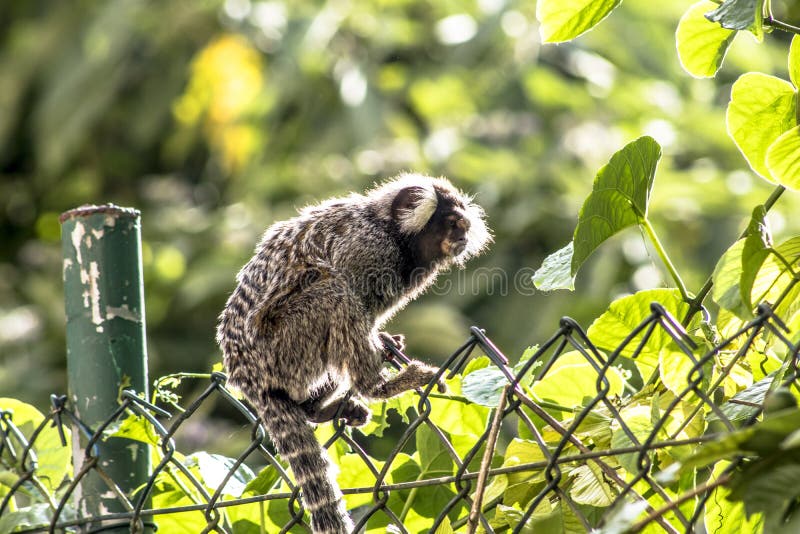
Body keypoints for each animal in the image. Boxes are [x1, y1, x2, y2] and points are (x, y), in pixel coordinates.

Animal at [220, 174, 494, 532]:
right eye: (451, 223)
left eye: (463, 225)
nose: (461, 237)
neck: (394, 234)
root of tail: (250, 381)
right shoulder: (365, 249)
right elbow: (350, 292)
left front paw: (385, 339)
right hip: (282, 347)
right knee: (335, 290)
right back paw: (378, 386)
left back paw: (316, 409)